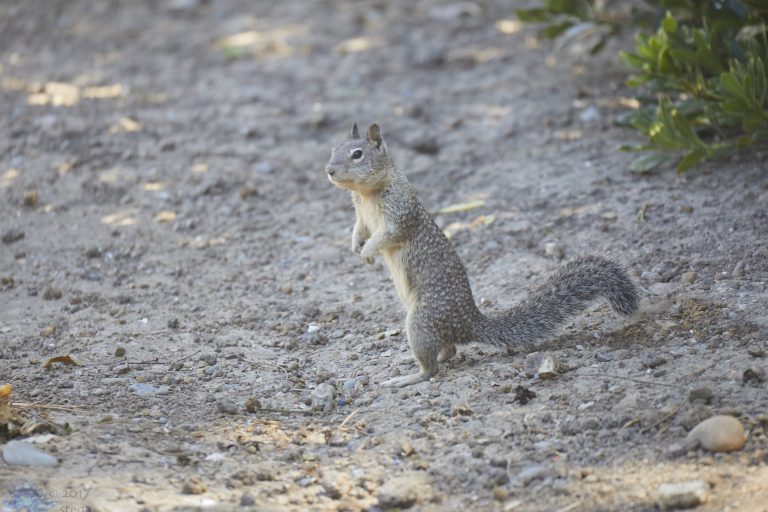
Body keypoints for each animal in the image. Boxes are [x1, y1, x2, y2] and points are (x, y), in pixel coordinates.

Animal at [326, 123, 639, 388]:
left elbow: (388, 235)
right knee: (449, 350)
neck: (366, 193)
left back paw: (406, 378)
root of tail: (469, 323)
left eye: (357, 154)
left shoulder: (400, 212)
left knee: (433, 367)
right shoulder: (361, 215)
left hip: (421, 322)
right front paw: (355, 246)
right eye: (333, 148)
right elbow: (359, 228)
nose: (329, 170)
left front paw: (368, 252)